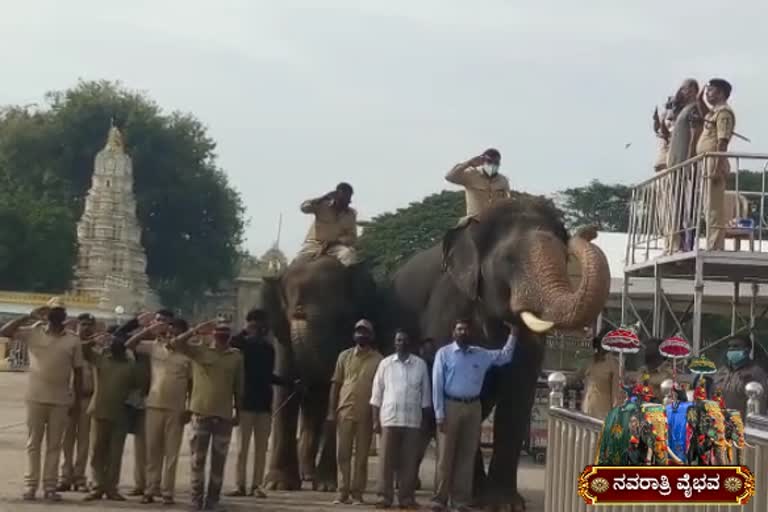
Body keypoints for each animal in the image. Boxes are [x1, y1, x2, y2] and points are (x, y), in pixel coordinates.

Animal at [258, 256, 378, 492]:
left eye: (341, 316)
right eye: (292, 312)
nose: (303, 383)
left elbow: (334, 391)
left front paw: (326, 487)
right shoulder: (283, 341)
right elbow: (283, 390)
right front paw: (278, 485)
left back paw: (312, 477)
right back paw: (305, 475)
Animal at [390, 198, 612, 510]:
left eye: (563, 258)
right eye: (509, 260)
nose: (590, 231)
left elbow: (518, 394)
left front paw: (505, 503)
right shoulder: (448, 307)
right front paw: (477, 499)